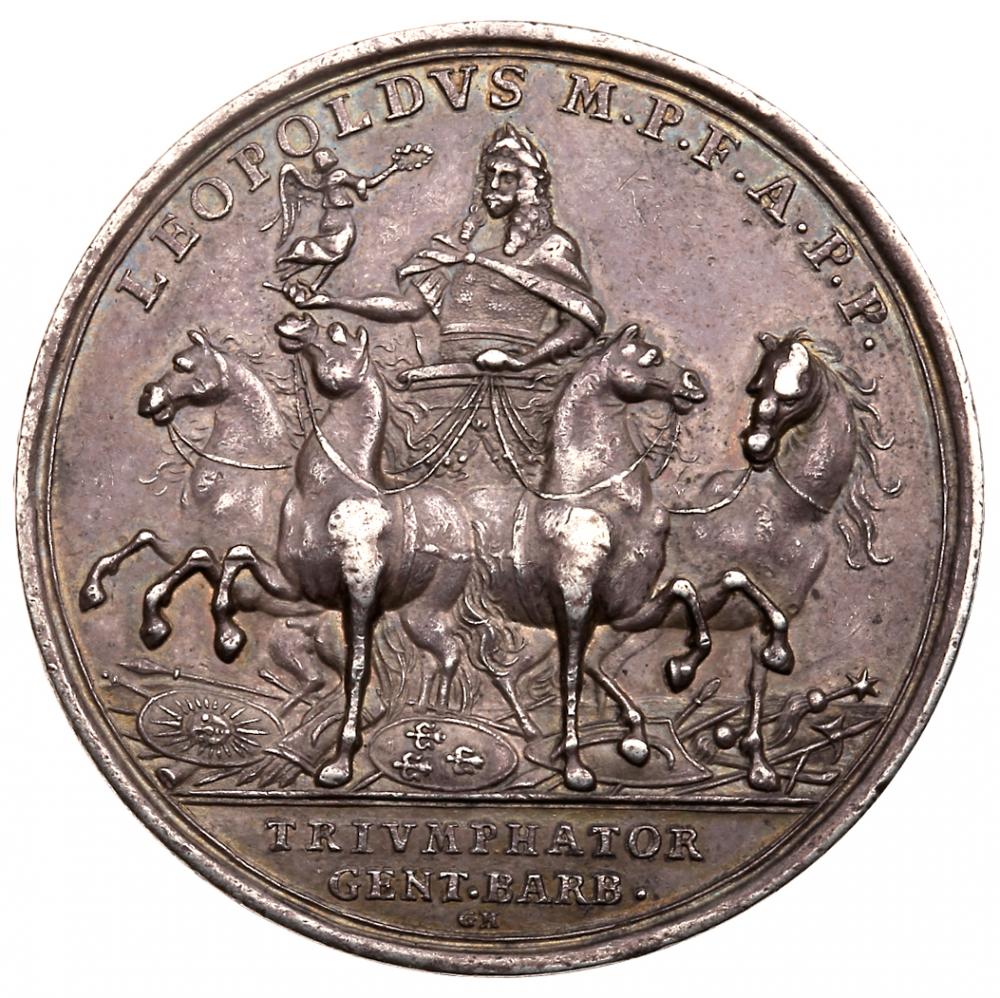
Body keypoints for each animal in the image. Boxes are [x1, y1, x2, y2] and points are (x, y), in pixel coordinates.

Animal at [603, 328, 900, 790]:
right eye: (757, 387)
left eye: (794, 394)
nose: (756, 445)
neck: (788, 509)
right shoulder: (740, 595)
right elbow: (741, 586)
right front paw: (689, 666)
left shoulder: (765, 621)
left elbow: (757, 684)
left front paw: (759, 765)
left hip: (637, 629)